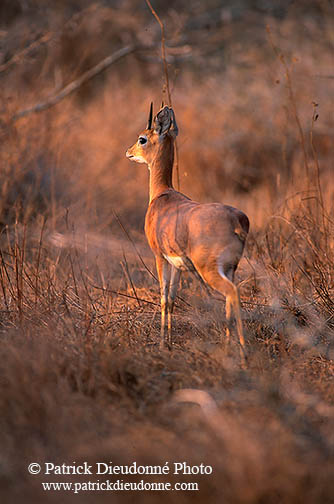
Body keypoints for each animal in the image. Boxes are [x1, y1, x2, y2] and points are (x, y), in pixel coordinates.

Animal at [126, 103, 249, 362]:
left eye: (142, 138)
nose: (128, 152)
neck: (162, 194)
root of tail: (238, 218)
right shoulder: (179, 265)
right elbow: (172, 299)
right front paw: (170, 343)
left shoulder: (159, 256)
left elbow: (163, 298)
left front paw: (162, 343)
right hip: (230, 269)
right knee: (229, 299)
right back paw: (227, 346)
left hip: (209, 269)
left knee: (232, 294)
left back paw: (242, 353)